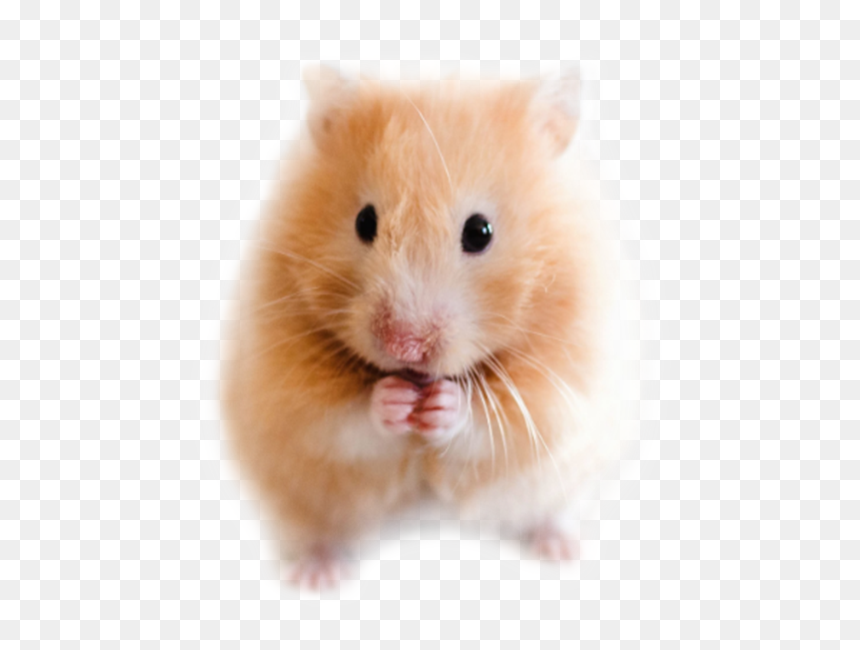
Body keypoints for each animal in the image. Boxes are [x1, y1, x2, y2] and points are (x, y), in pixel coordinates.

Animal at [222, 67, 618, 589]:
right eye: (364, 221)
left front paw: (442, 406)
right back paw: (316, 575)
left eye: (480, 231)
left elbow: (492, 424)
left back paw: (563, 549)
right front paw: (393, 400)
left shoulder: (561, 386)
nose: (404, 346)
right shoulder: (287, 388)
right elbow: (343, 420)